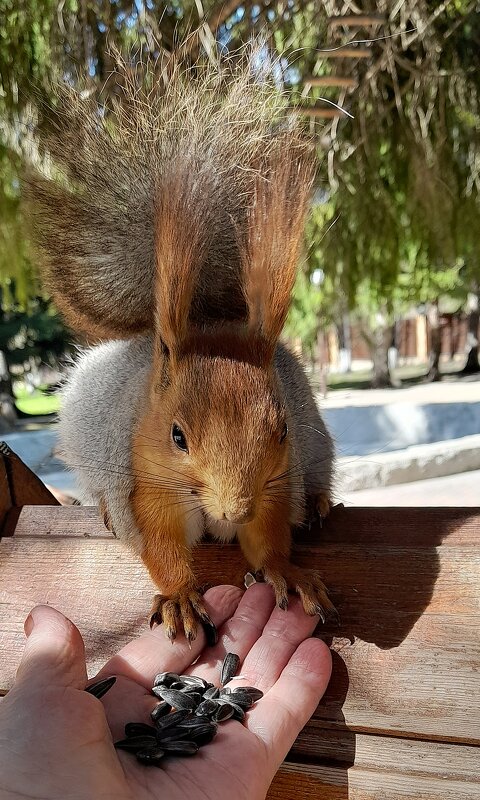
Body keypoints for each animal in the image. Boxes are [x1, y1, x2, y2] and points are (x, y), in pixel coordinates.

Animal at [25, 53, 334, 644]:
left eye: (282, 429)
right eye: (176, 436)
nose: (234, 509)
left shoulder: (275, 487)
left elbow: (267, 539)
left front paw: (286, 570)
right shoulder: (147, 489)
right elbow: (162, 547)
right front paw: (180, 597)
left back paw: (322, 502)